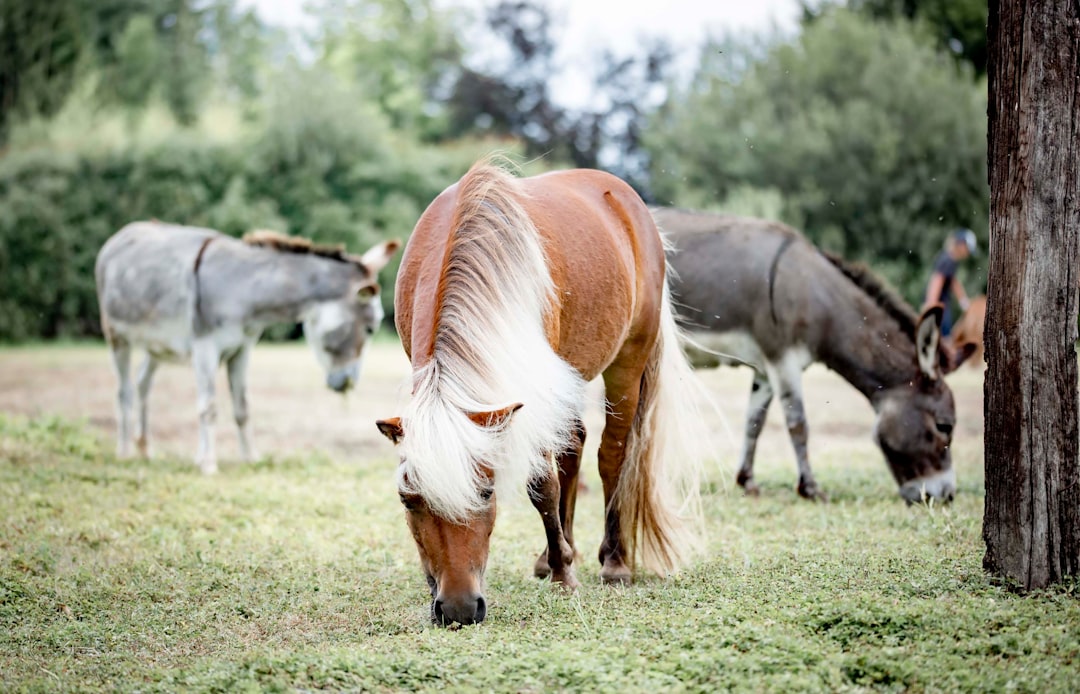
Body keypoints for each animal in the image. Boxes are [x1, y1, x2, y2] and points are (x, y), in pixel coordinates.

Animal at [375, 159, 704, 626]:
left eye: (486, 493)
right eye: (408, 500)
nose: (458, 609)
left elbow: (541, 485)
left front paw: (566, 576)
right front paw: (559, 559)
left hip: (627, 360)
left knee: (613, 455)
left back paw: (613, 561)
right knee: (573, 447)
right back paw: (555, 554)